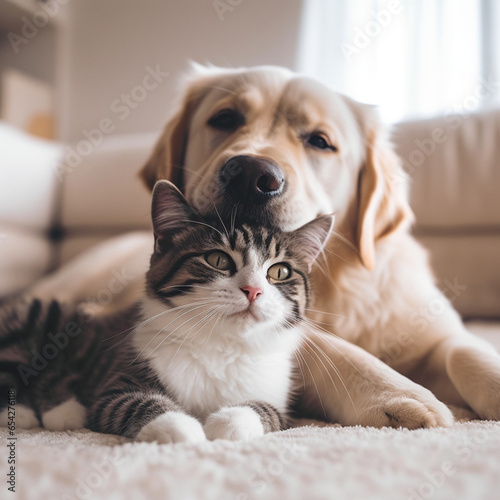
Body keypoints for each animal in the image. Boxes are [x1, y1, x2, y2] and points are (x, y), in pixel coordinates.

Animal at [1, 181, 334, 442]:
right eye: (218, 259)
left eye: (279, 272)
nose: (253, 290)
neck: (222, 344)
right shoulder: (116, 382)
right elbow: (133, 403)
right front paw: (182, 428)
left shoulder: (280, 398)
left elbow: (268, 411)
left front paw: (227, 423)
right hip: (41, 318)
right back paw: (30, 413)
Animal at [32, 64, 500, 428]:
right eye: (224, 118)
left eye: (320, 141)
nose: (251, 174)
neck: (339, 290)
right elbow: (325, 344)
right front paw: (395, 392)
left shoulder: (438, 331)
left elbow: (470, 352)